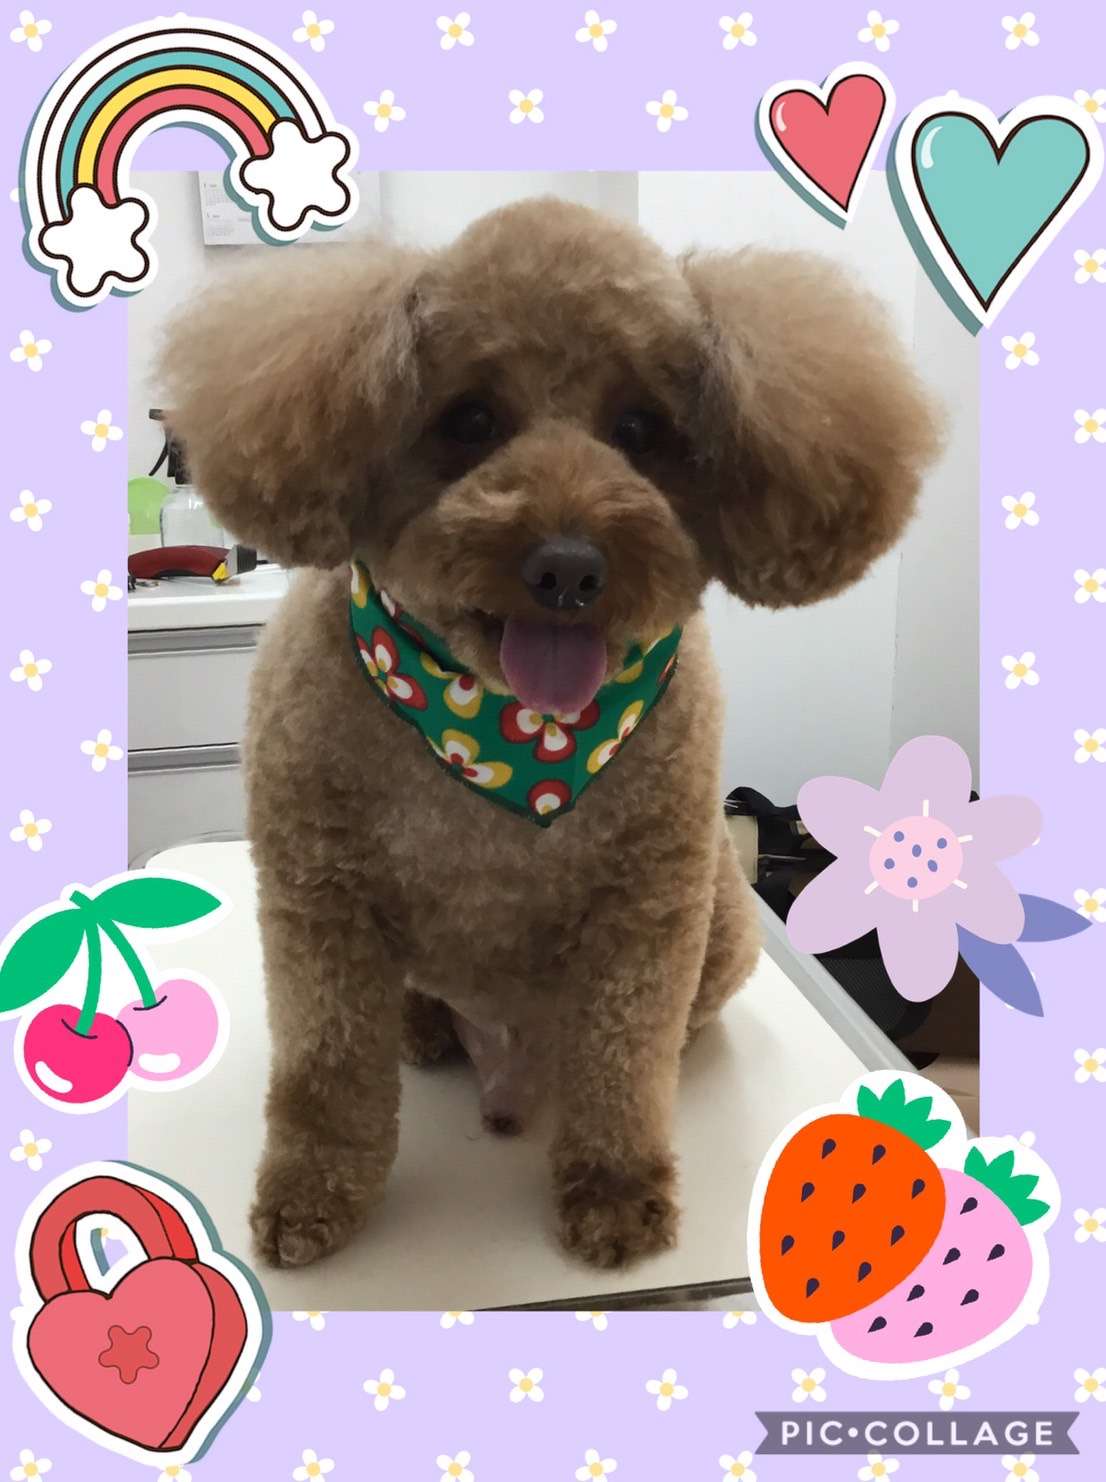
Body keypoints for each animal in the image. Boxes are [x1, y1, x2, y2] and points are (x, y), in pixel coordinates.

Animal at [163, 197, 940, 1272]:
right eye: (469, 420)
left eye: (641, 428)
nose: (568, 568)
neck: (507, 734)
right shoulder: (317, 901)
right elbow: (327, 1073)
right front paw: (311, 1197)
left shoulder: (646, 913)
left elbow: (621, 1068)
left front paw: (614, 1193)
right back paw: (423, 1025)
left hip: (725, 918)